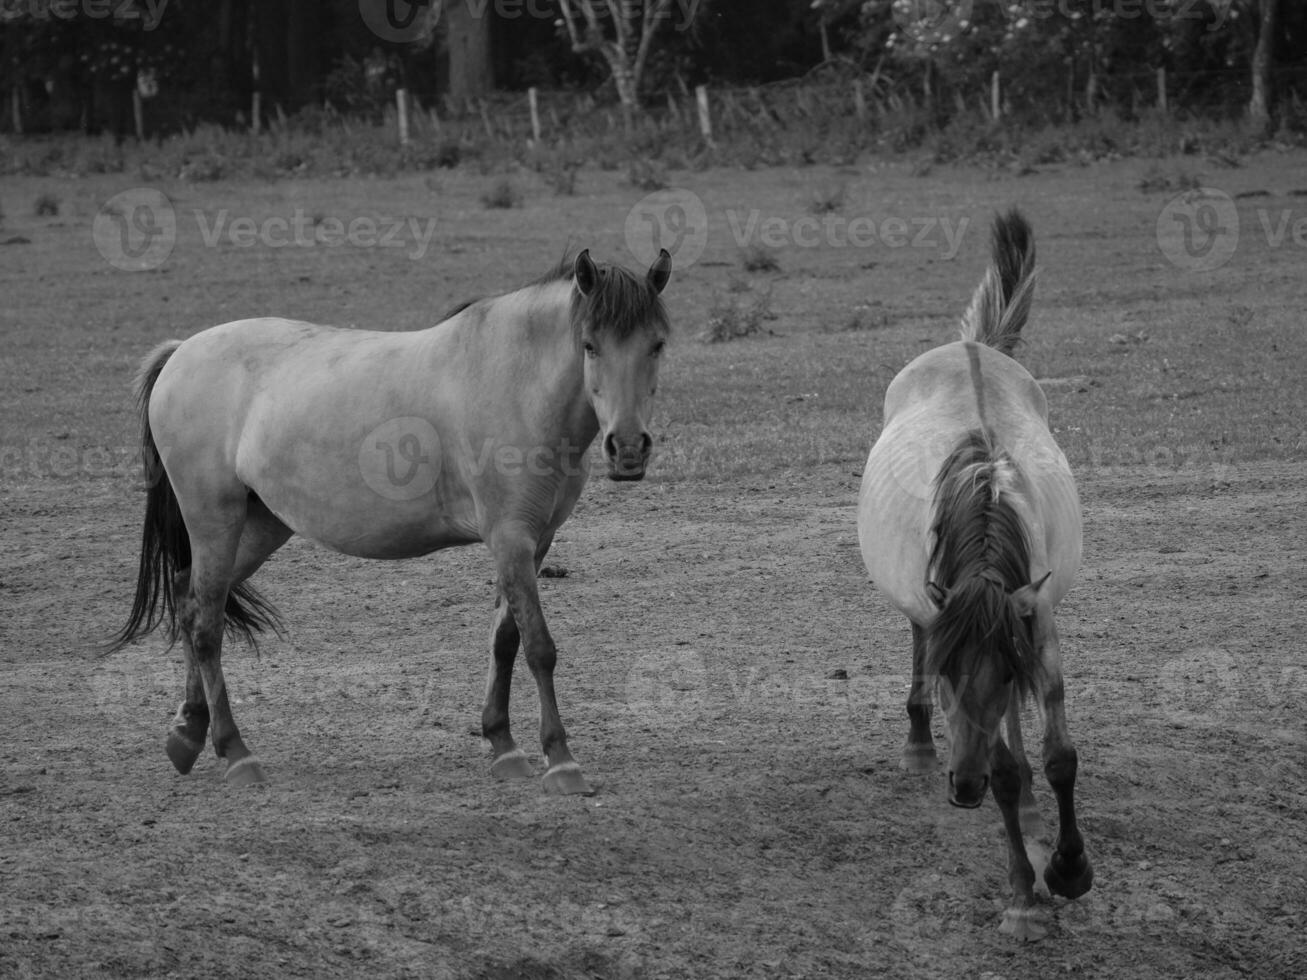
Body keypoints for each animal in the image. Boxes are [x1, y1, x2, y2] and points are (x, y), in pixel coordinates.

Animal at [105, 245, 669, 799]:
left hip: (261, 527)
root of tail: (182, 351)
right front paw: (561, 761)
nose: (628, 448)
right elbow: (538, 647)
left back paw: (187, 734)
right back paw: (236, 753)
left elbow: (504, 640)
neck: (514, 380)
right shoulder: (510, 538)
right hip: (214, 521)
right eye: (589, 345)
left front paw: (503, 745)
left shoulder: (536, 542)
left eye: (657, 345)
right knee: (206, 626)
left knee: (190, 598)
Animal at [857, 211, 1092, 940]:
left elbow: (1057, 754)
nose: (962, 789)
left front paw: (1069, 867)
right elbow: (1006, 770)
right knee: (915, 634)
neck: (986, 495)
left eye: (998, 669)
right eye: (946, 675)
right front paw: (1025, 896)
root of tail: (971, 347)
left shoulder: (1035, 625)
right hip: (918, 601)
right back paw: (918, 746)